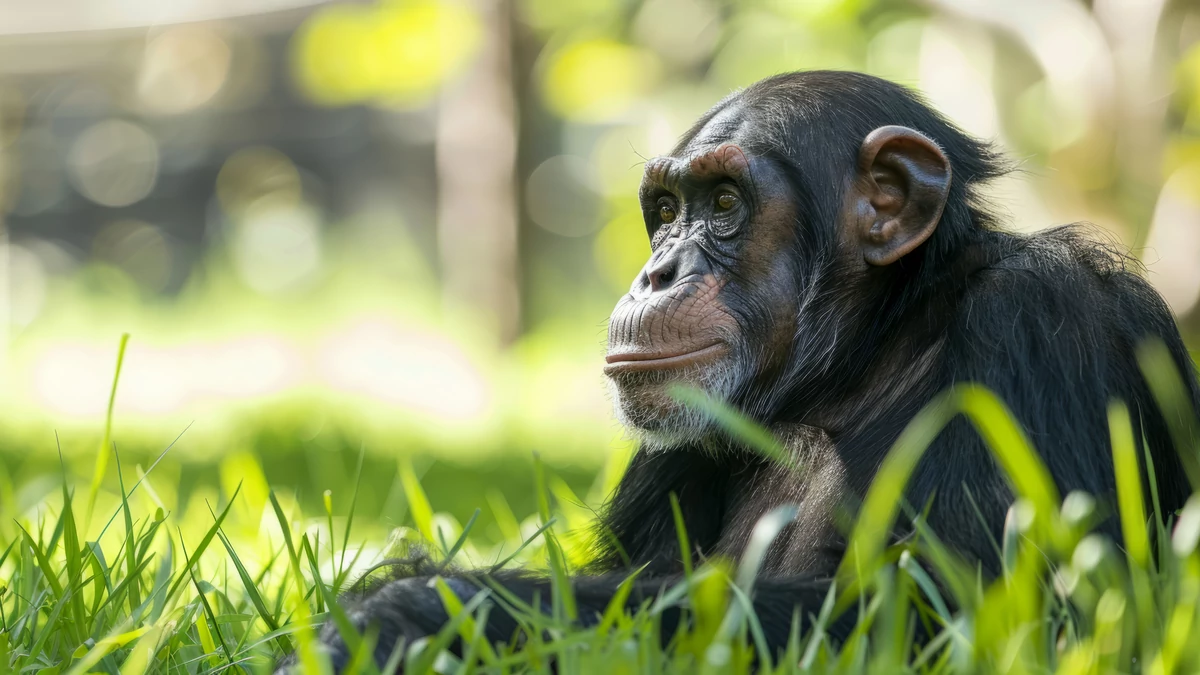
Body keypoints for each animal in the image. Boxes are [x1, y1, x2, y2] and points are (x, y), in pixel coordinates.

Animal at [276, 70, 1200, 667]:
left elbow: (955, 609)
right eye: (665, 209)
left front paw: (412, 612)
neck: (868, 353)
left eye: (724, 205)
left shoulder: (1045, 322)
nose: (658, 271)